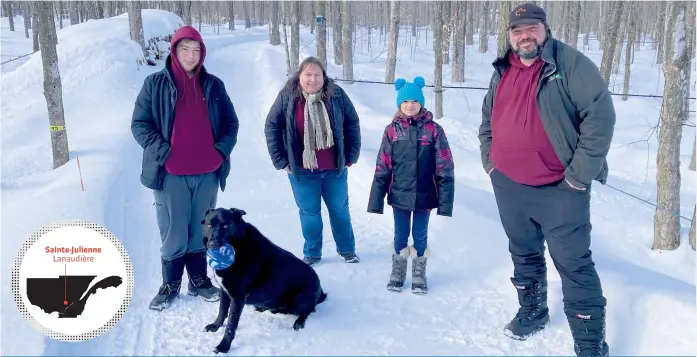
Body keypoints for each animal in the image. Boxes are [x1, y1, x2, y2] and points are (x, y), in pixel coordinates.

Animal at [200, 207, 328, 352]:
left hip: (301, 298)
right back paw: (267, 308)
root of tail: (320, 290)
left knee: (308, 310)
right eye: (209, 225)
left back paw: (299, 322)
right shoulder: (225, 291)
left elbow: (231, 325)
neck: (238, 247)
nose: (213, 244)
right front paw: (215, 326)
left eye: (226, 226)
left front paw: (223, 346)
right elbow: (222, 311)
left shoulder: (237, 297)